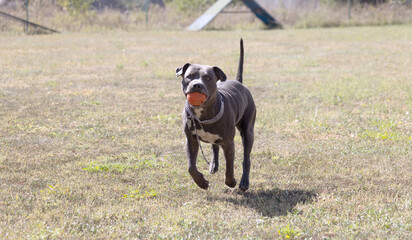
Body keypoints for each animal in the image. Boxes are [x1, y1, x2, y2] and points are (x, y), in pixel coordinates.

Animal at [175, 39, 256, 191]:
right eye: (189, 77)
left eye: (208, 77)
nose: (197, 85)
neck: (202, 114)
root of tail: (238, 82)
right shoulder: (191, 140)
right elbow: (191, 167)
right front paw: (202, 182)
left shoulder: (228, 143)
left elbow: (229, 167)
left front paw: (231, 182)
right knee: (214, 147)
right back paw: (213, 164)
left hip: (248, 131)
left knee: (246, 158)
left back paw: (244, 182)